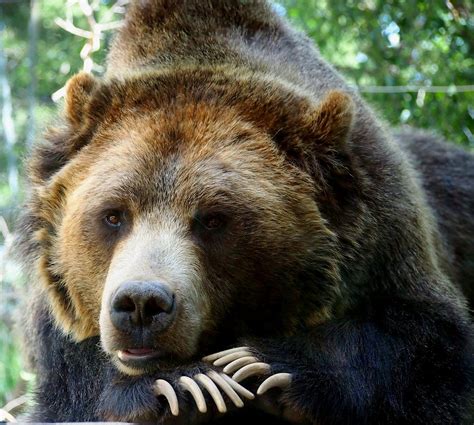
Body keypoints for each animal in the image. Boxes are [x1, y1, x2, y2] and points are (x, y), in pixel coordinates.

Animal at [16, 0, 472, 424]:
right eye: (114, 215)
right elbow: (72, 379)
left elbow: (426, 349)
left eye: (213, 219)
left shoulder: (386, 239)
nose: (141, 303)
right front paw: (187, 384)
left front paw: (263, 365)